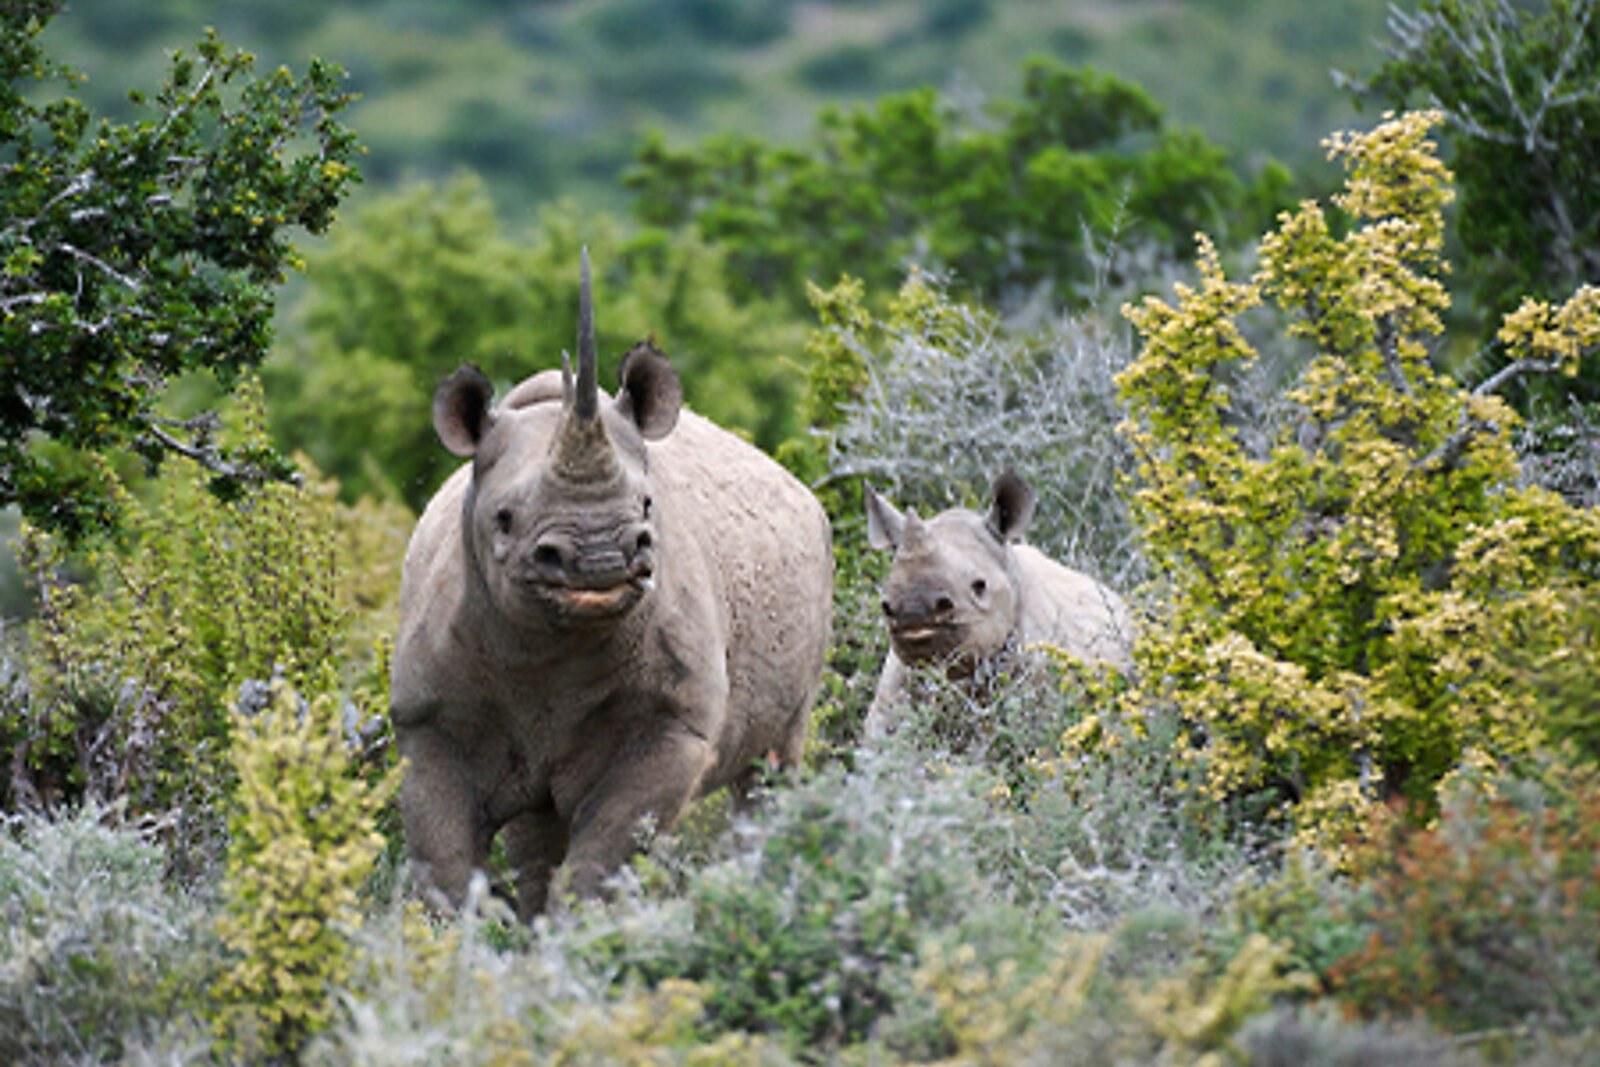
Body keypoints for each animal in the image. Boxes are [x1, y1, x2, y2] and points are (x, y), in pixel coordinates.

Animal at [390, 253, 833, 917]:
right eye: (504, 519)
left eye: (648, 506)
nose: (600, 557)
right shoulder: (427, 723)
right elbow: (445, 863)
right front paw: (463, 940)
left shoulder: (674, 724)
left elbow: (604, 854)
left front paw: (577, 935)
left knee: (772, 764)